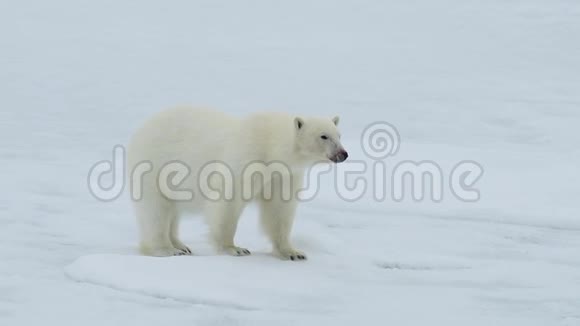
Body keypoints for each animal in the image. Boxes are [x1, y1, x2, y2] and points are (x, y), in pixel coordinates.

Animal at [127, 108, 348, 262]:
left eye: (339, 135)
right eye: (323, 136)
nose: (343, 154)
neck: (269, 145)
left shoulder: (283, 175)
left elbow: (279, 210)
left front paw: (293, 252)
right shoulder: (246, 158)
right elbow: (227, 203)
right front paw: (234, 249)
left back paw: (181, 246)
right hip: (155, 166)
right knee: (156, 210)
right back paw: (165, 249)